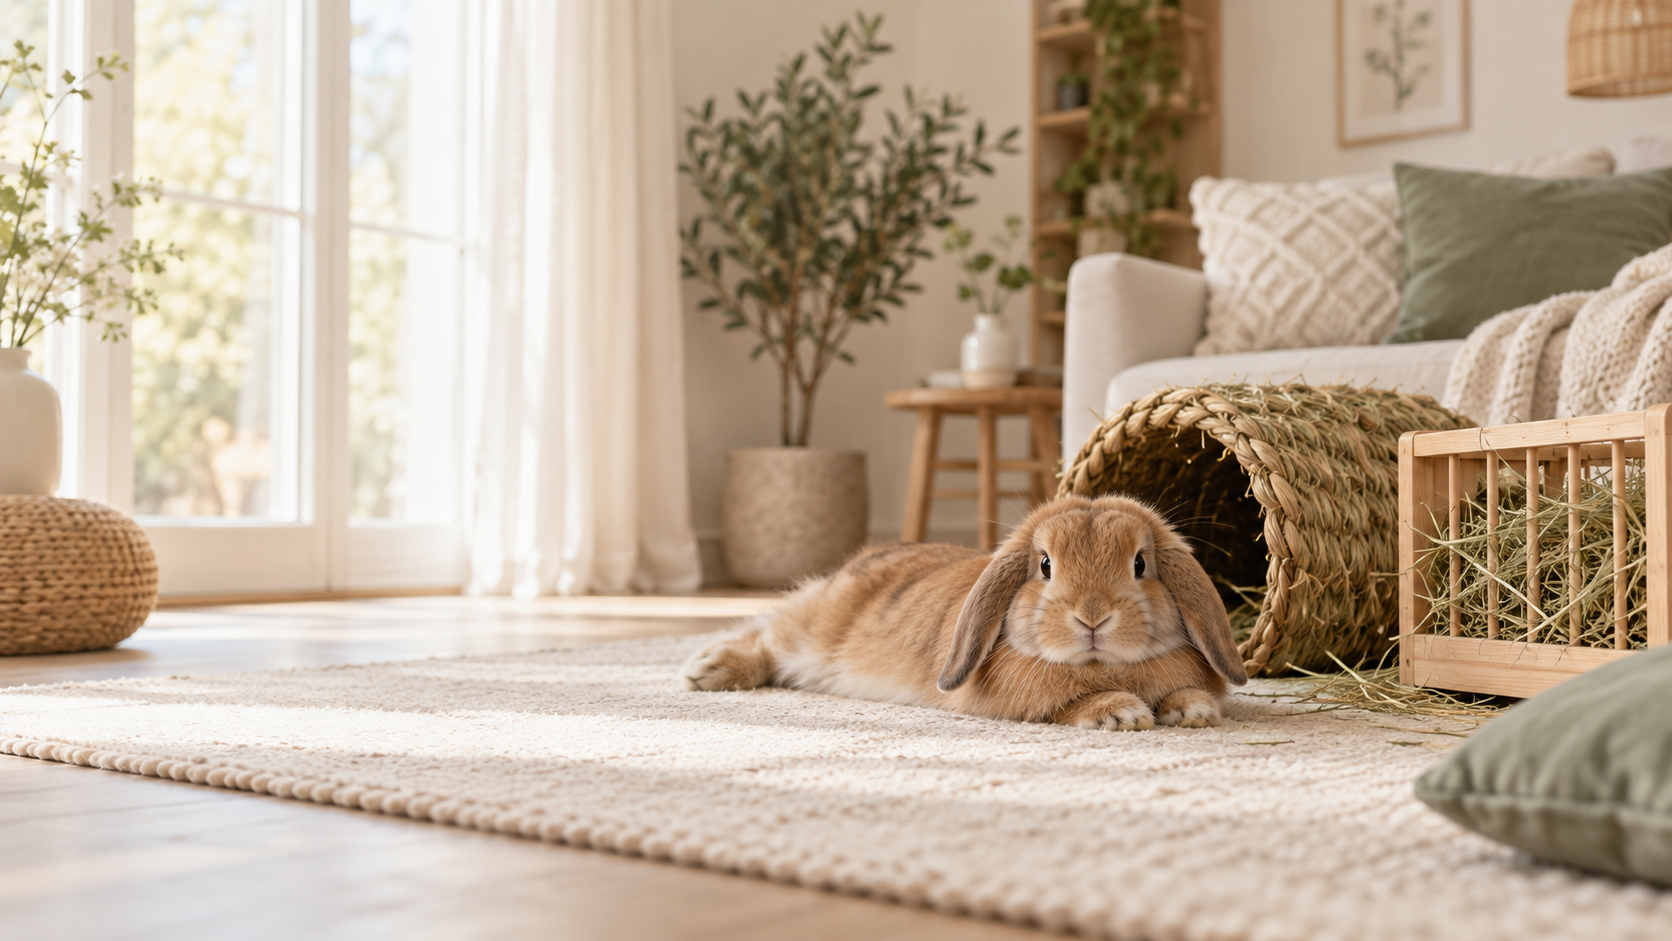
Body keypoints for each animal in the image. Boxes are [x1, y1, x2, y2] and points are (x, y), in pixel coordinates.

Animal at [681, 493, 1247, 729]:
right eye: (1045, 565)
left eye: (1140, 564)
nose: (1092, 617)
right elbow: (1065, 705)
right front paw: (1120, 712)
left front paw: (1193, 710)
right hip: (813, 630)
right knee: (766, 636)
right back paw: (705, 669)